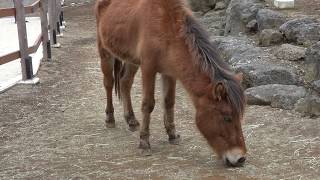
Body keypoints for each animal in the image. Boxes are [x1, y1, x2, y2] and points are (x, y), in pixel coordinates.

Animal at [95, 0, 248, 167]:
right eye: (227, 117)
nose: (240, 158)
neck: (167, 26)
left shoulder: (170, 72)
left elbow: (169, 102)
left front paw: (172, 134)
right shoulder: (148, 69)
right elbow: (148, 105)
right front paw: (144, 142)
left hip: (131, 60)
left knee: (125, 82)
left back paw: (131, 120)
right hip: (105, 52)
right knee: (108, 84)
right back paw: (110, 119)